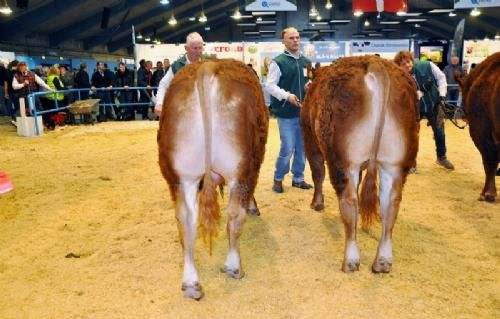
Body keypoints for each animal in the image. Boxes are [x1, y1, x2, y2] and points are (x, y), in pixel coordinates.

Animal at [158, 59, 270, 300]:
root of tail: (207, 66)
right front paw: (254, 207)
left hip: (182, 176)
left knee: (186, 219)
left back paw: (191, 282)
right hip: (240, 169)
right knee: (235, 215)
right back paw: (234, 267)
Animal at [300, 56, 422, 274]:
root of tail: (375, 63)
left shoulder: (310, 140)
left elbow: (317, 173)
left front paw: (317, 203)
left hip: (343, 160)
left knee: (349, 200)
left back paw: (350, 260)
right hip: (395, 163)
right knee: (391, 203)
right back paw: (382, 261)